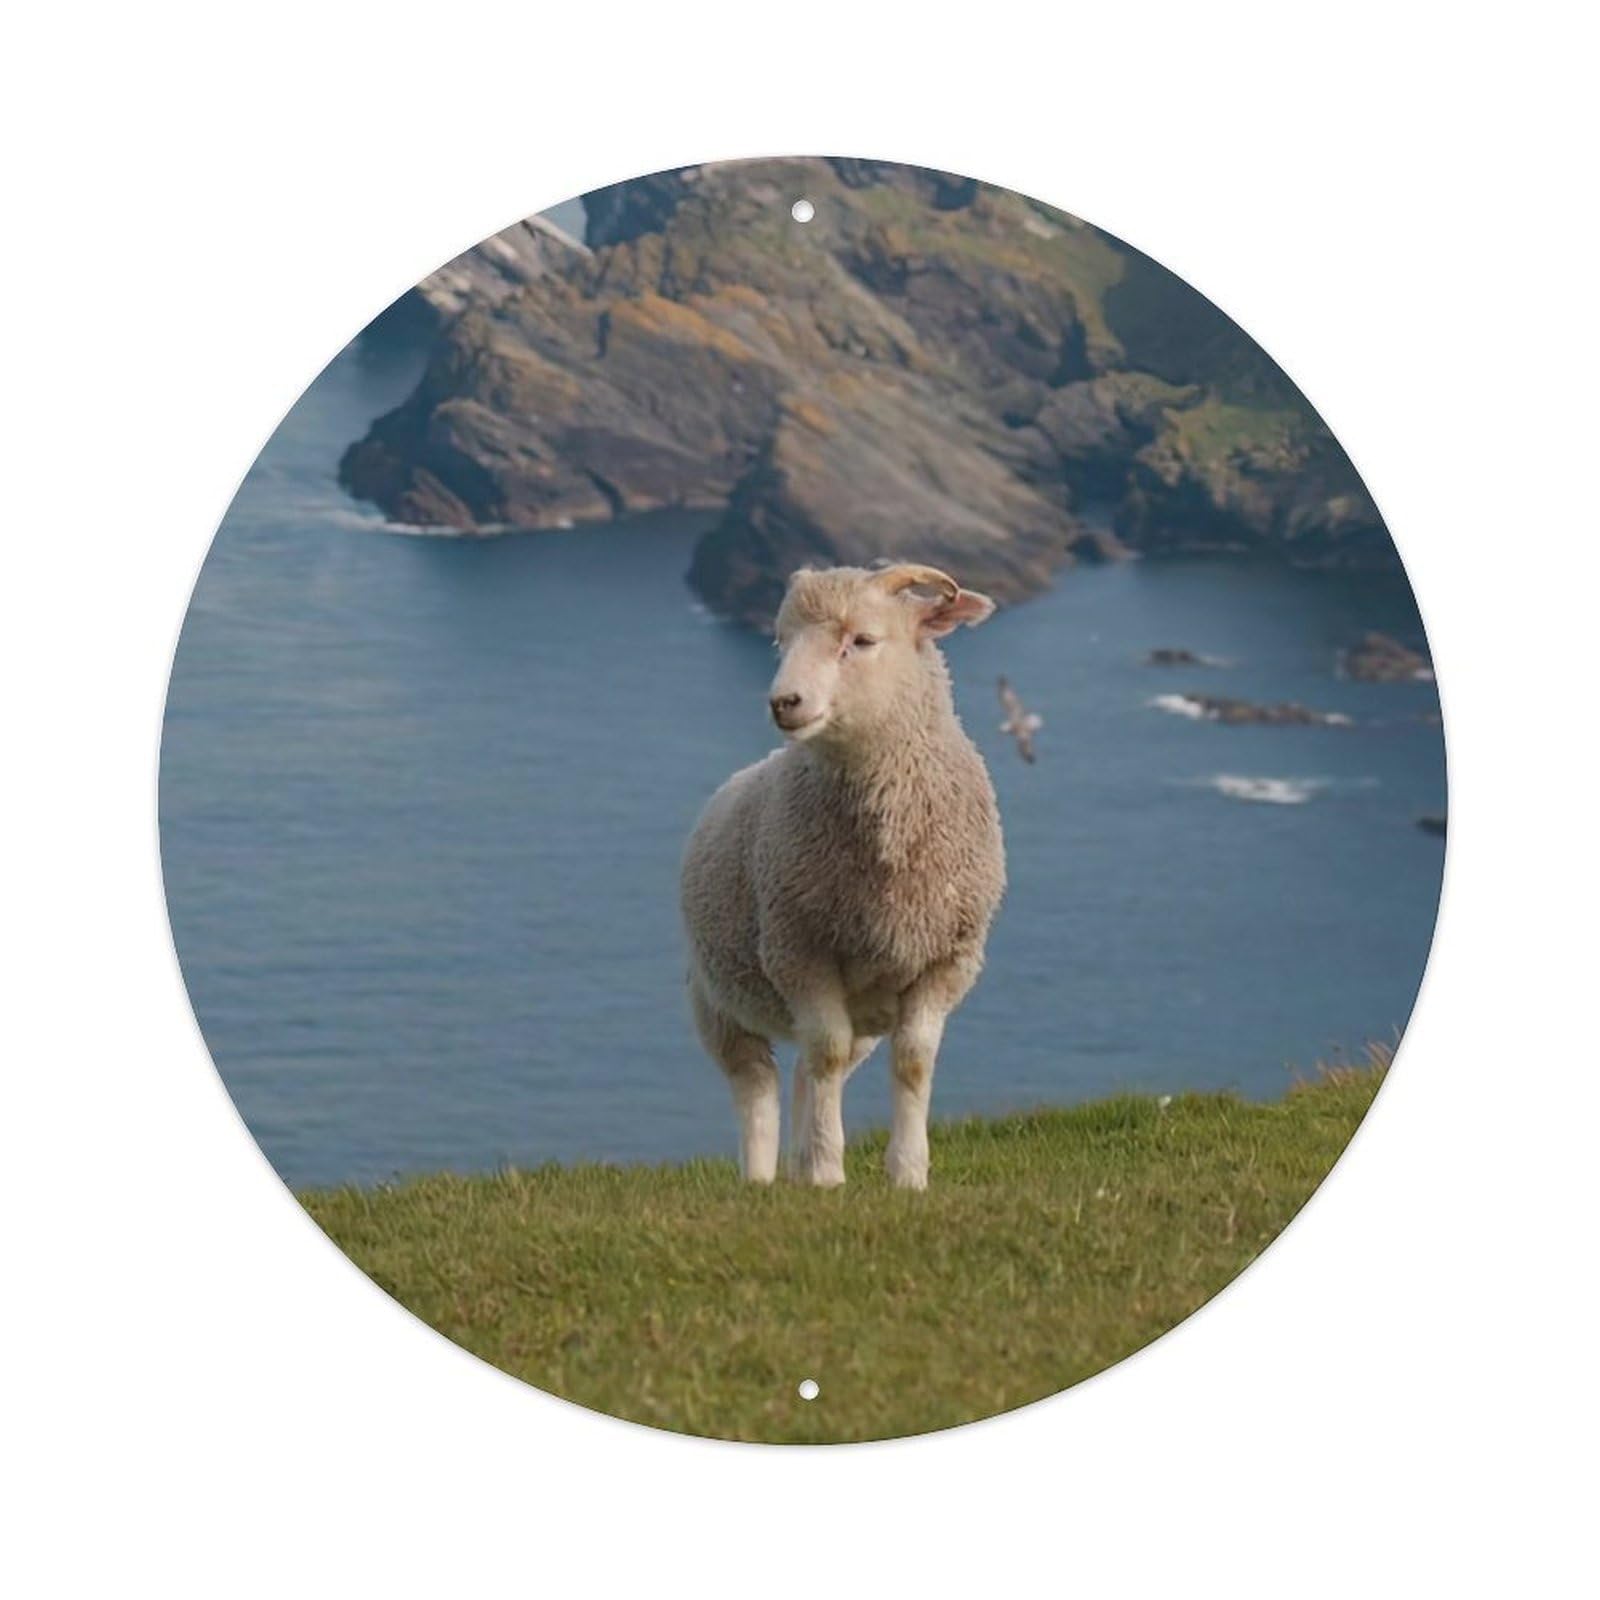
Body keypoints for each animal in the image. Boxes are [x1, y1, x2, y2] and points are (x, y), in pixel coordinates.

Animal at [679, 562, 1006, 1189]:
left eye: (863, 640)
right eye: (781, 642)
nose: (784, 702)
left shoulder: (946, 960)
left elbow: (913, 1062)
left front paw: (907, 1173)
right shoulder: (799, 950)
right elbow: (825, 1055)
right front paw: (830, 1173)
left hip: (863, 1016)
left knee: (803, 1073)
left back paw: (800, 1166)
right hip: (717, 1000)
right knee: (758, 1085)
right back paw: (762, 1178)